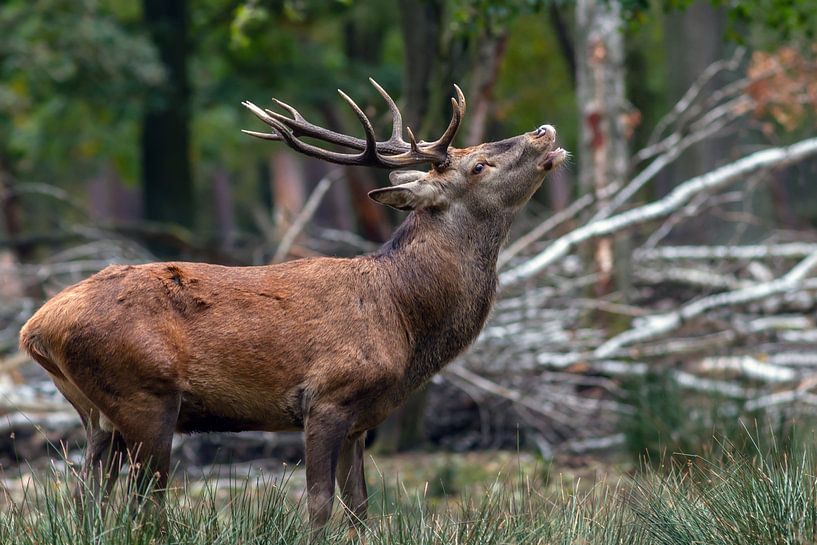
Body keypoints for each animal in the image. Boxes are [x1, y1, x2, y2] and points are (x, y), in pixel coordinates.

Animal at [19, 78, 566, 532]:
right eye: (478, 165)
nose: (544, 130)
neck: (404, 318)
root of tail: (35, 328)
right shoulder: (327, 397)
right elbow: (320, 506)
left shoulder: (360, 421)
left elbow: (360, 509)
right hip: (145, 394)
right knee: (140, 504)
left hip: (95, 410)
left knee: (86, 498)